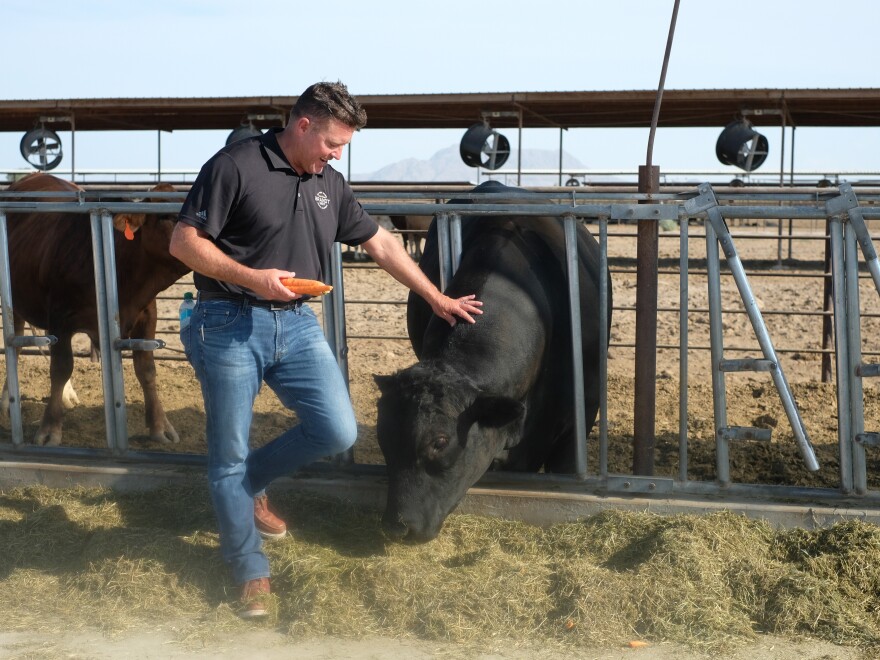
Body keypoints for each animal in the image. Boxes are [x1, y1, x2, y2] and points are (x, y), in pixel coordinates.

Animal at [0, 173, 190, 446]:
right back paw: (8, 402)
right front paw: (49, 429)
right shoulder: (60, 317)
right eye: (167, 217)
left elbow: (146, 369)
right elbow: (61, 367)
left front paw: (159, 427)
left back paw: (66, 396)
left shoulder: (147, 314)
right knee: (14, 344)